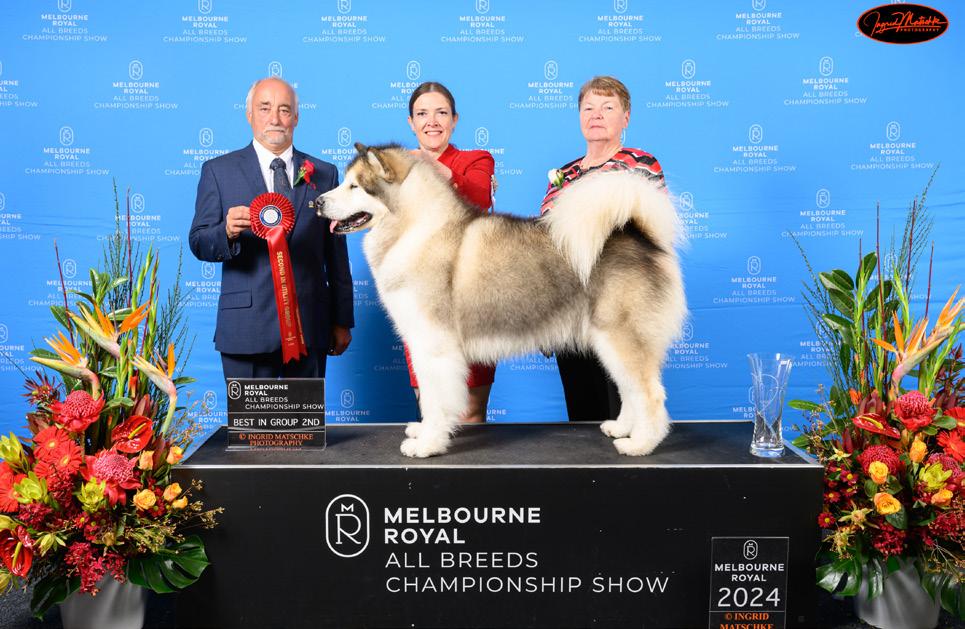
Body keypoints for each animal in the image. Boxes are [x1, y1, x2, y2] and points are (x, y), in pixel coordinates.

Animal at [315, 143, 686, 458]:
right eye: (345, 183)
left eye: (355, 186)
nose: (317, 202)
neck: (413, 230)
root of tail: (640, 237)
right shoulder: (421, 346)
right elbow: (430, 400)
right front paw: (423, 433)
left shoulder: (435, 346)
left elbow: (436, 401)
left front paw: (428, 444)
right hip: (607, 342)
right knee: (629, 389)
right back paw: (622, 429)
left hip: (621, 337)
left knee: (650, 393)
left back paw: (641, 445)